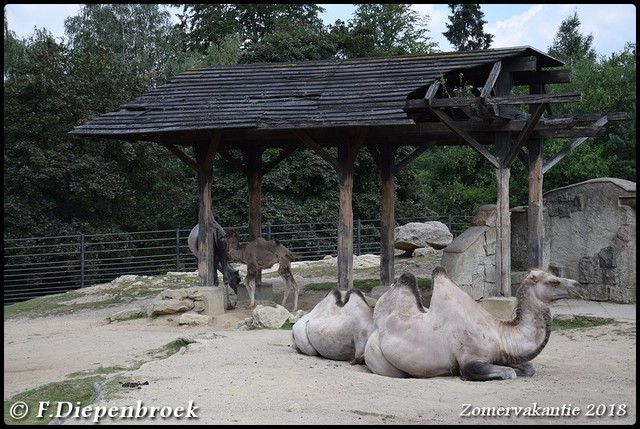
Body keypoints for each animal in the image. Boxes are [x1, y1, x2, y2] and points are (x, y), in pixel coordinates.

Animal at [362, 266, 584, 380]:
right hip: (377, 357)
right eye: (553, 281)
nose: (579, 286)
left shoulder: (501, 355)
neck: (500, 335)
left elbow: (528, 368)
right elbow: (508, 372)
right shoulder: (470, 360)